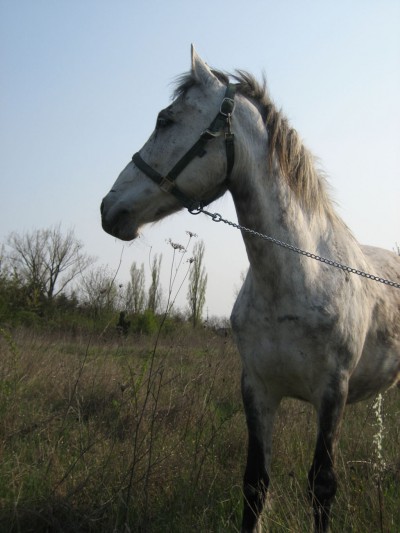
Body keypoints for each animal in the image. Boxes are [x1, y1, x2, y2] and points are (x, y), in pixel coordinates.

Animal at [101, 46, 400, 532]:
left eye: (165, 119)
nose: (109, 209)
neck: (296, 279)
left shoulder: (331, 393)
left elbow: (322, 487)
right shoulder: (257, 389)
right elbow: (255, 484)